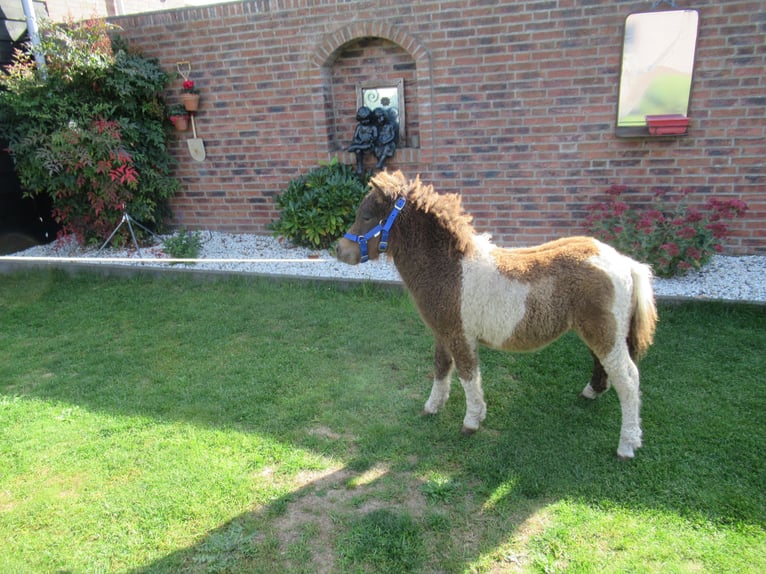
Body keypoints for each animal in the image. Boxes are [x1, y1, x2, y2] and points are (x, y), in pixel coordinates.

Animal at [336, 170, 658, 459]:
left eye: (368, 216)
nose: (340, 250)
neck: (450, 269)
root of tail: (625, 262)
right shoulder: (442, 333)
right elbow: (441, 368)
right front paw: (431, 408)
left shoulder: (460, 335)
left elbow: (468, 375)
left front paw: (471, 421)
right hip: (599, 331)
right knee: (605, 366)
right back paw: (591, 393)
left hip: (604, 333)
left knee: (628, 378)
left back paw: (627, 445)